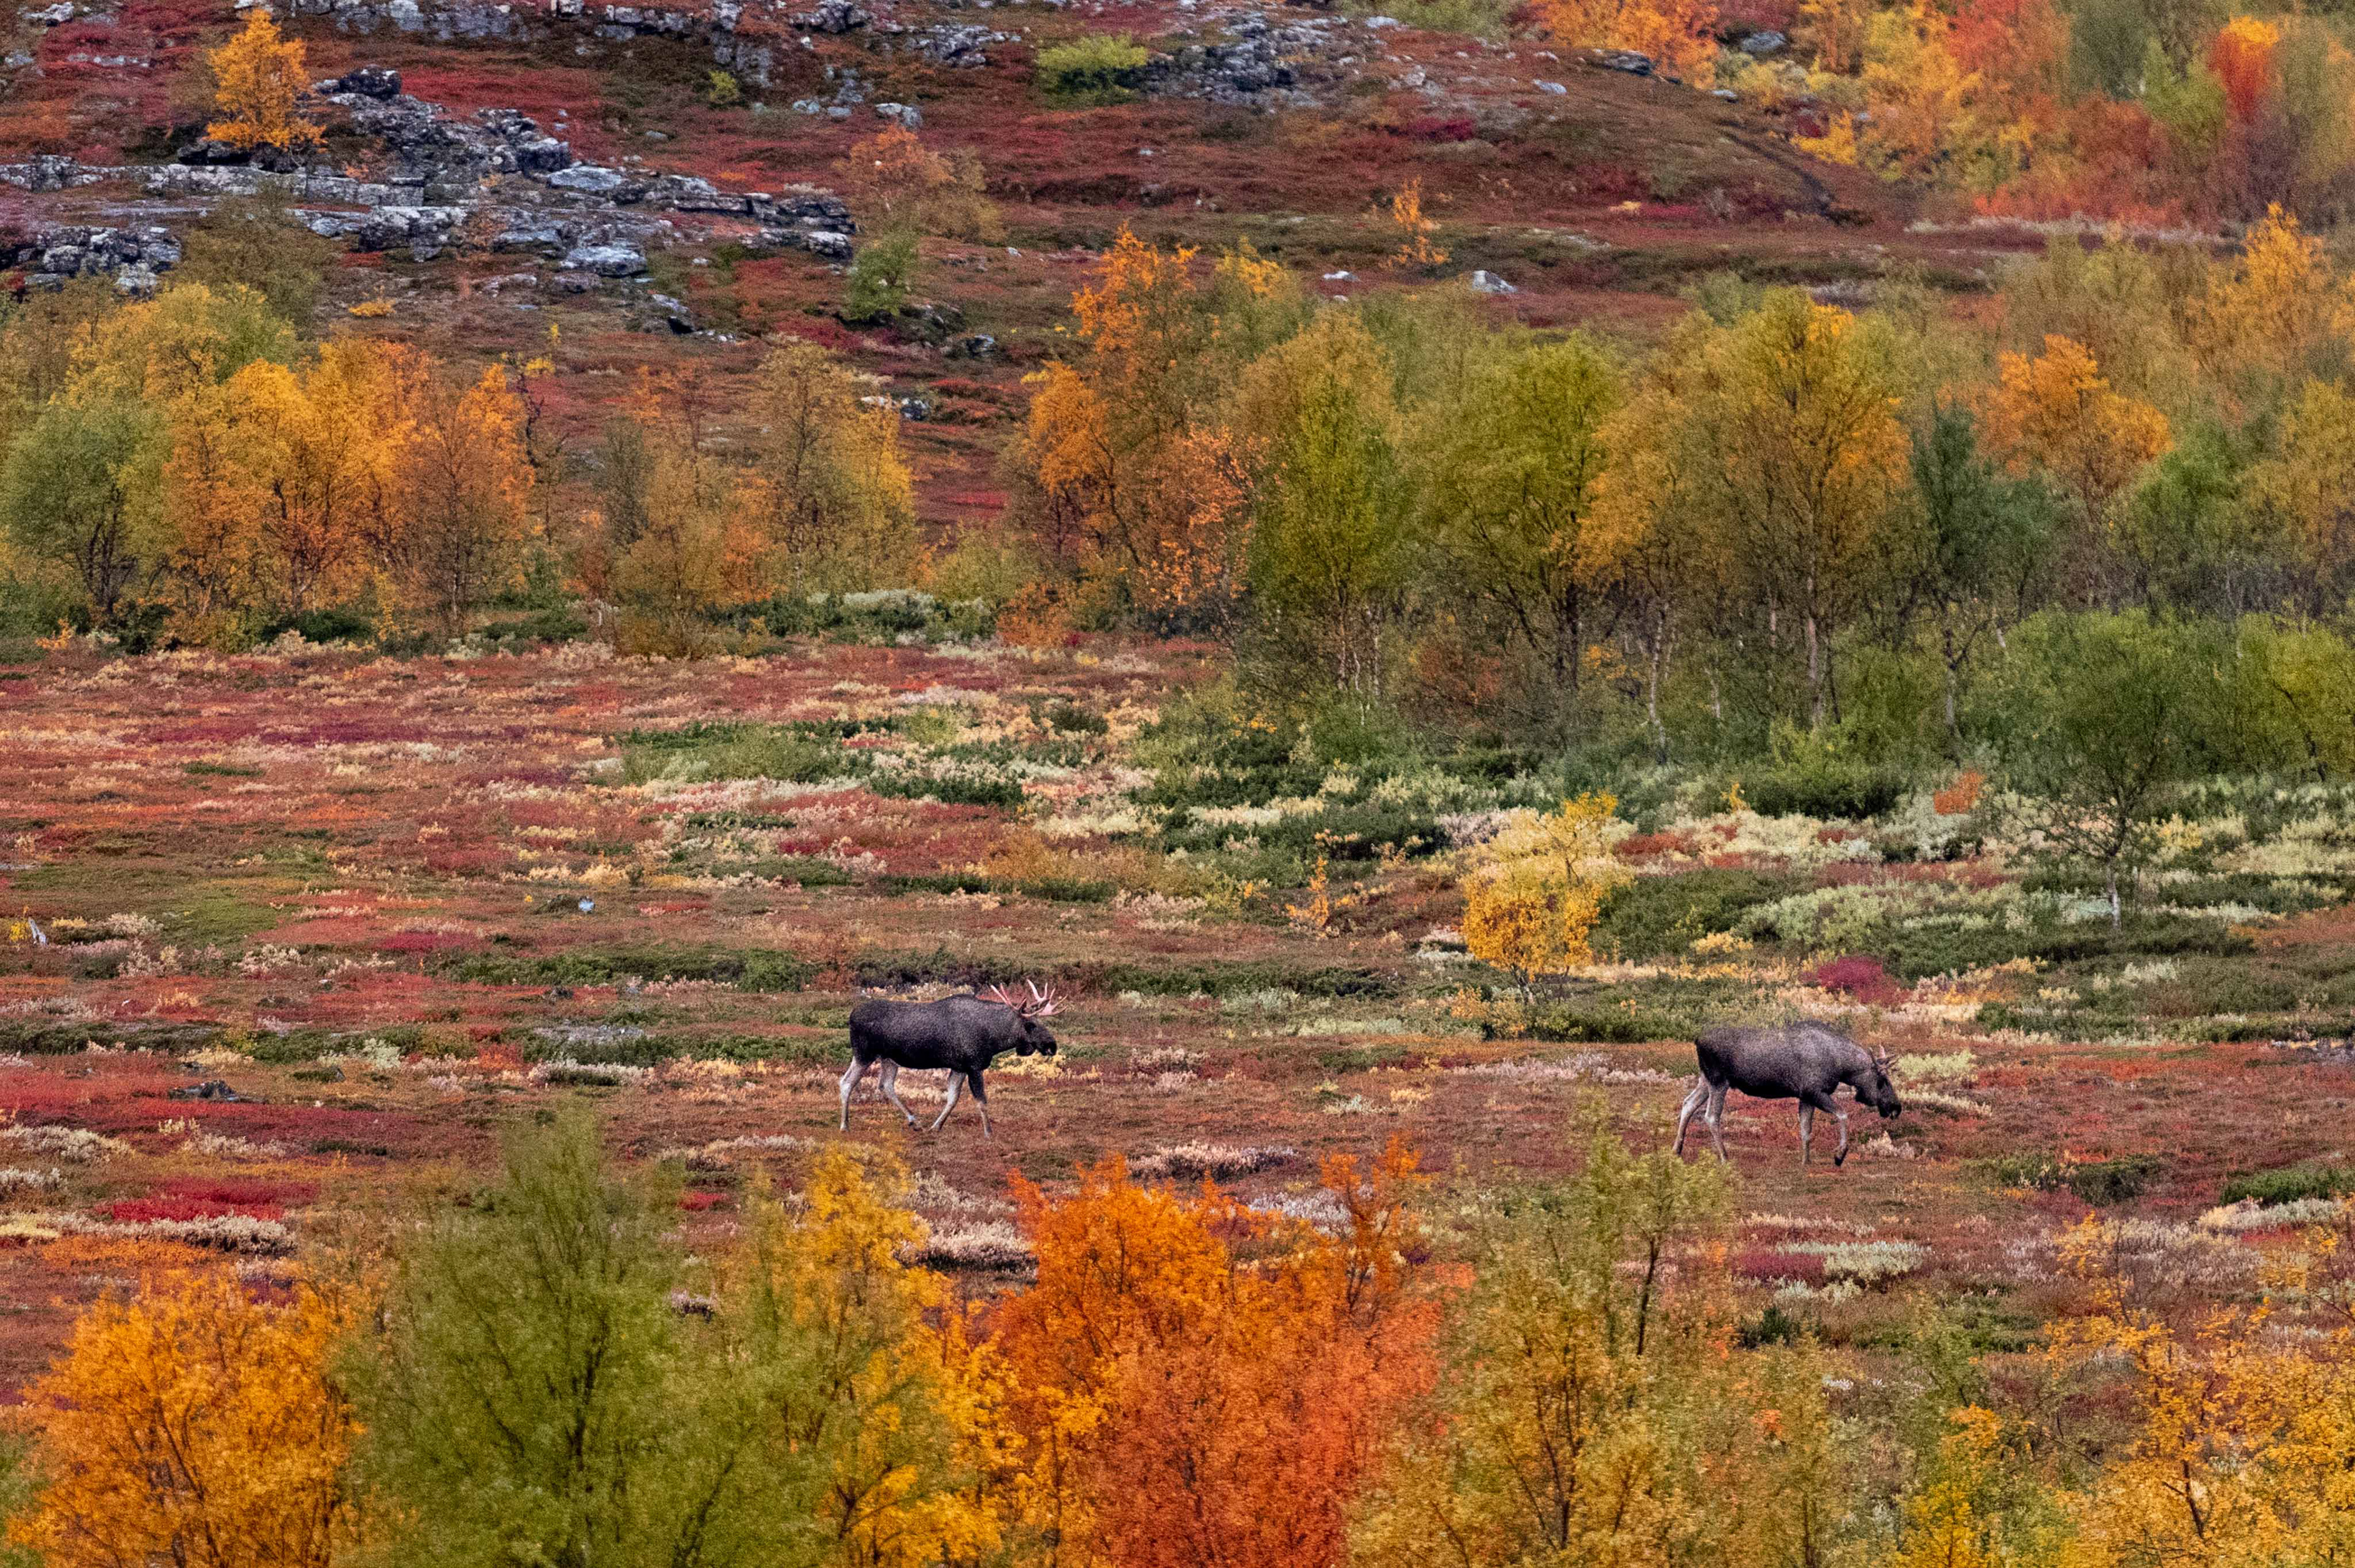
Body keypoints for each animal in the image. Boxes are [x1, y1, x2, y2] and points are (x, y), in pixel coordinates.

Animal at [839, 982, 1060, 1140]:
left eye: (1042, 1022)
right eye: (1030, 1025)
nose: (1052, 1045)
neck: (994, 1038)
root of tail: (851, 1016)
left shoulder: (959, 1067)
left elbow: (952, 1099)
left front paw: (936, 1126)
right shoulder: (974, 1066)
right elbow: (981, 1101)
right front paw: (989, 1133)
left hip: (889, 1059)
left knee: (886, 1085)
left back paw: (914, 1121)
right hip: (864, 1054)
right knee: (846, 1082)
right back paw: (844, 1125)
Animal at [1673, 1021, 1902, 1168]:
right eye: (1882, 1081)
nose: (1896, 1107)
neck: (1841, 1066)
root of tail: (1697, 1040)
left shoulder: (1806, 1096)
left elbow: (1806, 1130)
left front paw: (1806, 1161)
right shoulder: (1815, 1091)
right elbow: (1843, 1114)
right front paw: (1839, 1154)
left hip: (1705, 1080)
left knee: (1687, 1104)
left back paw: (1676, 1150)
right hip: (1719, 1081)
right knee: (1711, 1116)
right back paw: (1724, 1156)